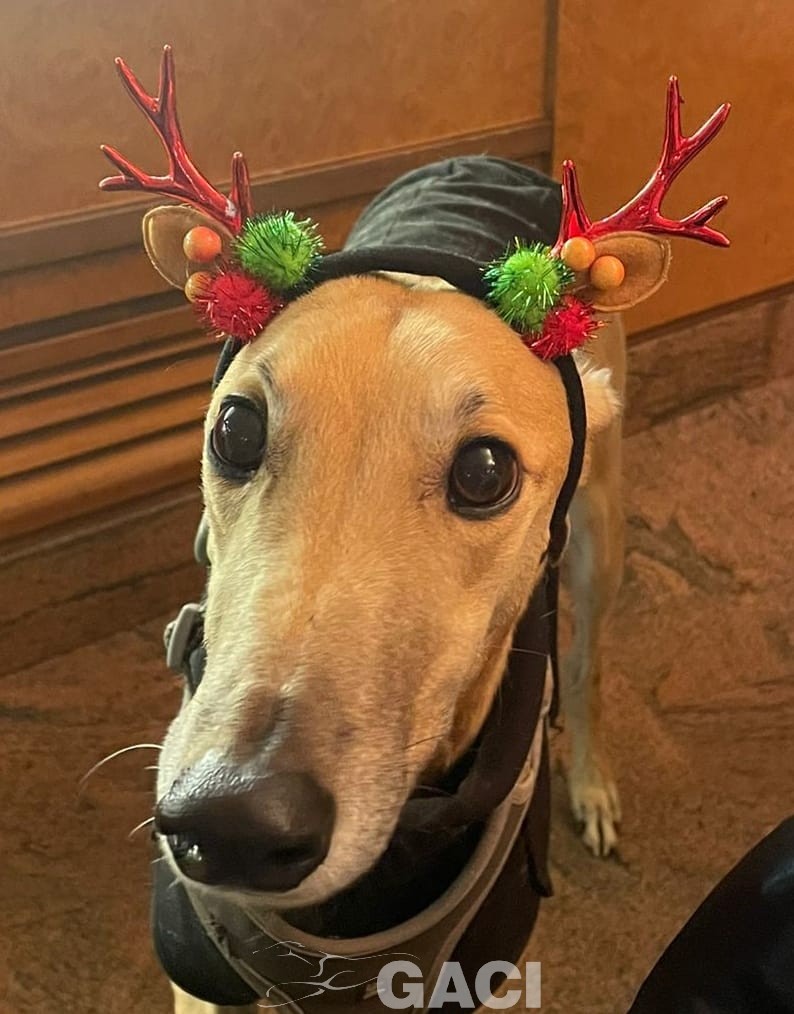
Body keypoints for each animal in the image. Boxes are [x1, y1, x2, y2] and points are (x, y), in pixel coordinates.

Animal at [97, 46, 729, 1014]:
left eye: (486, 471)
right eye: (234, 428)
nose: (232, 822)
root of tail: (487, 159)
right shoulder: (200, 972)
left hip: (602, 534)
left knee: (587, 668)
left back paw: (592, 785)